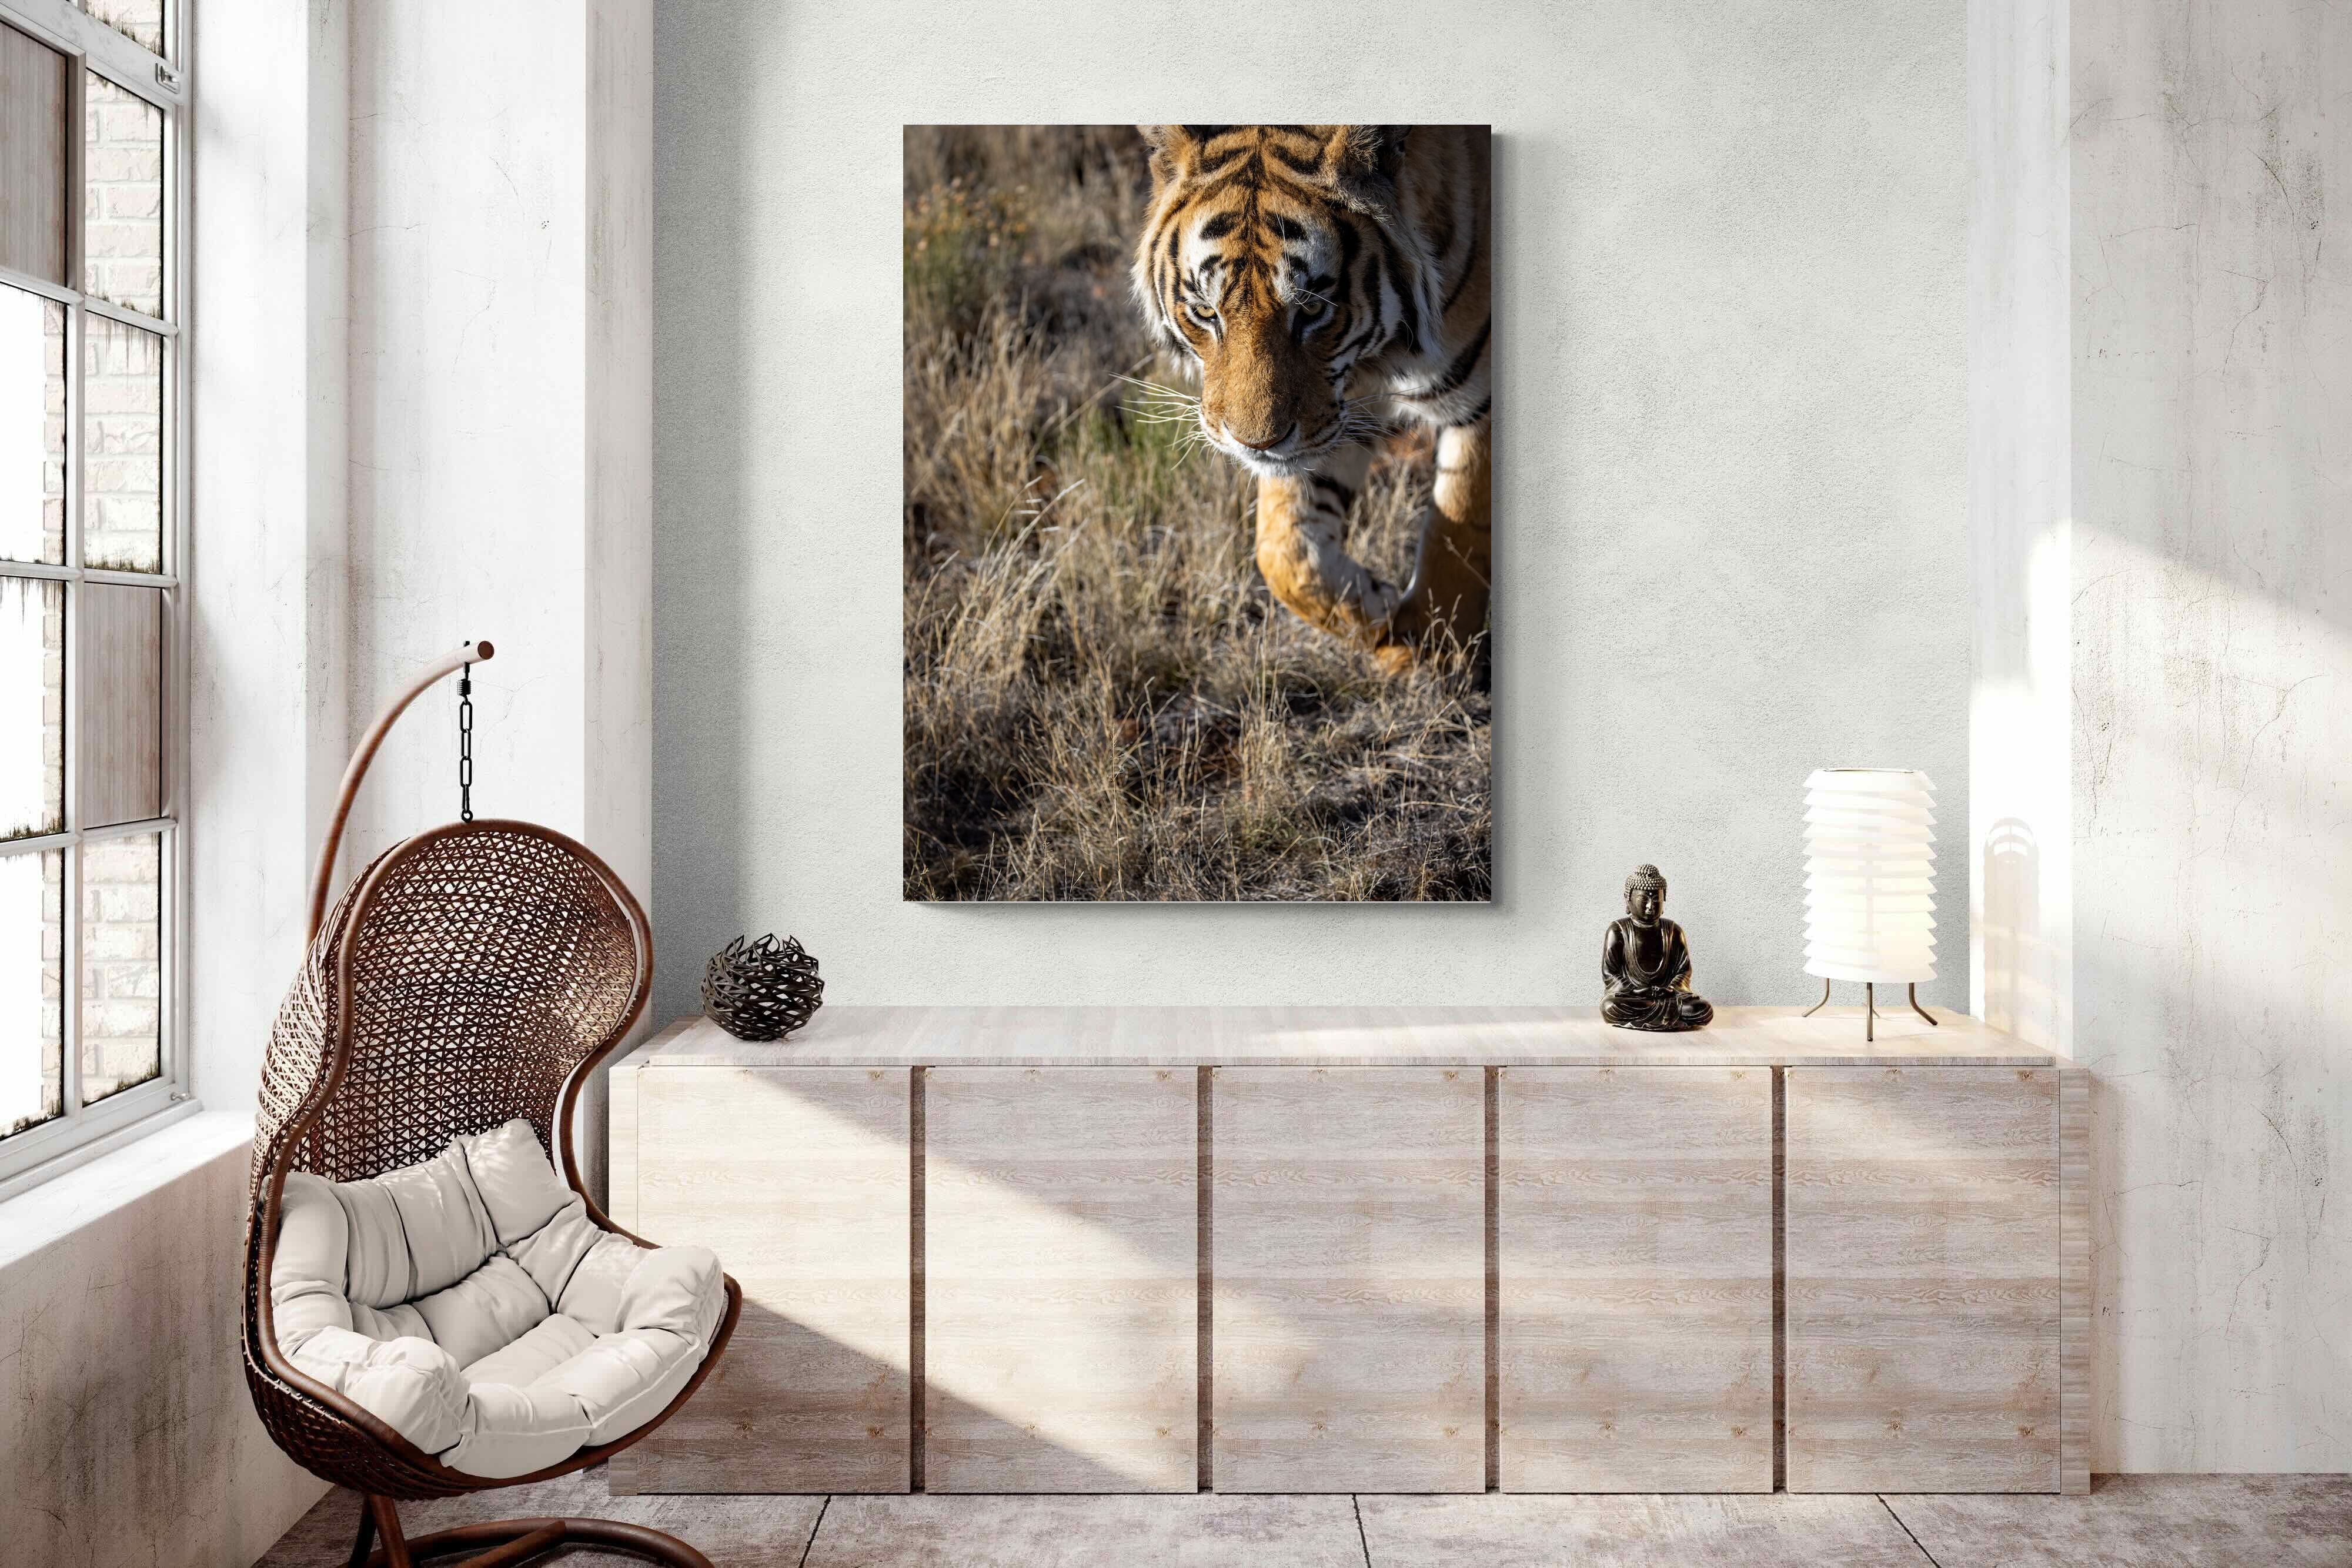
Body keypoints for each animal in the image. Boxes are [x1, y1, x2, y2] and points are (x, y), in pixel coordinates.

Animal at [1133, 124, 1491, 668]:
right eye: (1206, 312)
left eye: (1314, 309)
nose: (1255, 445)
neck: (1381, 357)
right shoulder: (1335, 413)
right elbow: (1284, 552)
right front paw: (1379, 609)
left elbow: (1458, 536)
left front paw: (1428, 653)